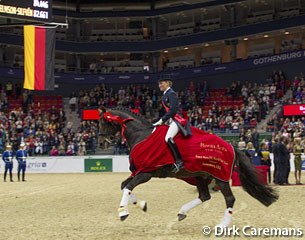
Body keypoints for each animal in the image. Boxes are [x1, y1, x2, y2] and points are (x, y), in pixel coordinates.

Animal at [100, 108, 278, 226]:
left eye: (104, 122)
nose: (102, 143)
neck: (142, 135)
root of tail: (231, 146)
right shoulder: (139, 172)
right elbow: (124, 186)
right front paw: (142, 205)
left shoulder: (146, 173)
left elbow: (128, 187)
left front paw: (123, 212)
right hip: (201, 175)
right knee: (205, 196)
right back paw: (182, 212)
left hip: (220, 176)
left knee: (229, 198)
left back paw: (222, 225)